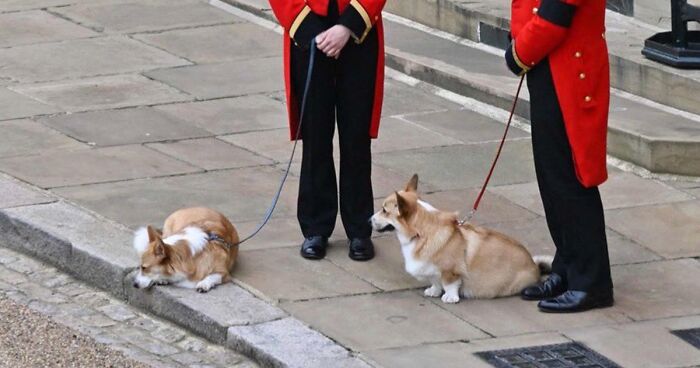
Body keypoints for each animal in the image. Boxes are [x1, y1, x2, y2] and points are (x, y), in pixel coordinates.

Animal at [372, 175, 552, 302]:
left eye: (384, 211)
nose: (370, 220)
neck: (422, 232)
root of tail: (535, 266)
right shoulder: (432, 271)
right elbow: (435, 281)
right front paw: (434, 291)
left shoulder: (450, 271)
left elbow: (449, 284)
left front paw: (450, 298)